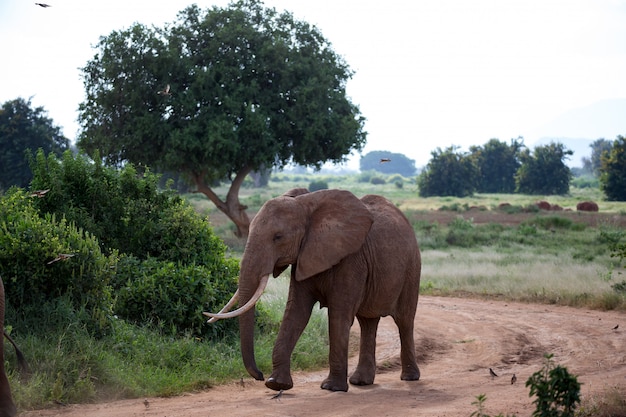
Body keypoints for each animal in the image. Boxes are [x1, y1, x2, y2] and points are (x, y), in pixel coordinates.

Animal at [205, 188, 420, 390]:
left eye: (278, 237)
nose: (259, 375)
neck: (306, 206)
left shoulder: (351, 259)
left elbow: (338, 316)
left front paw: (331, 388)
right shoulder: (303, 256)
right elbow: (296, 313)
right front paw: (277, 384)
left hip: (411, 268)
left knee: (404, 320)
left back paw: (409, 377)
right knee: (368, 322)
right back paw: (360, 382)